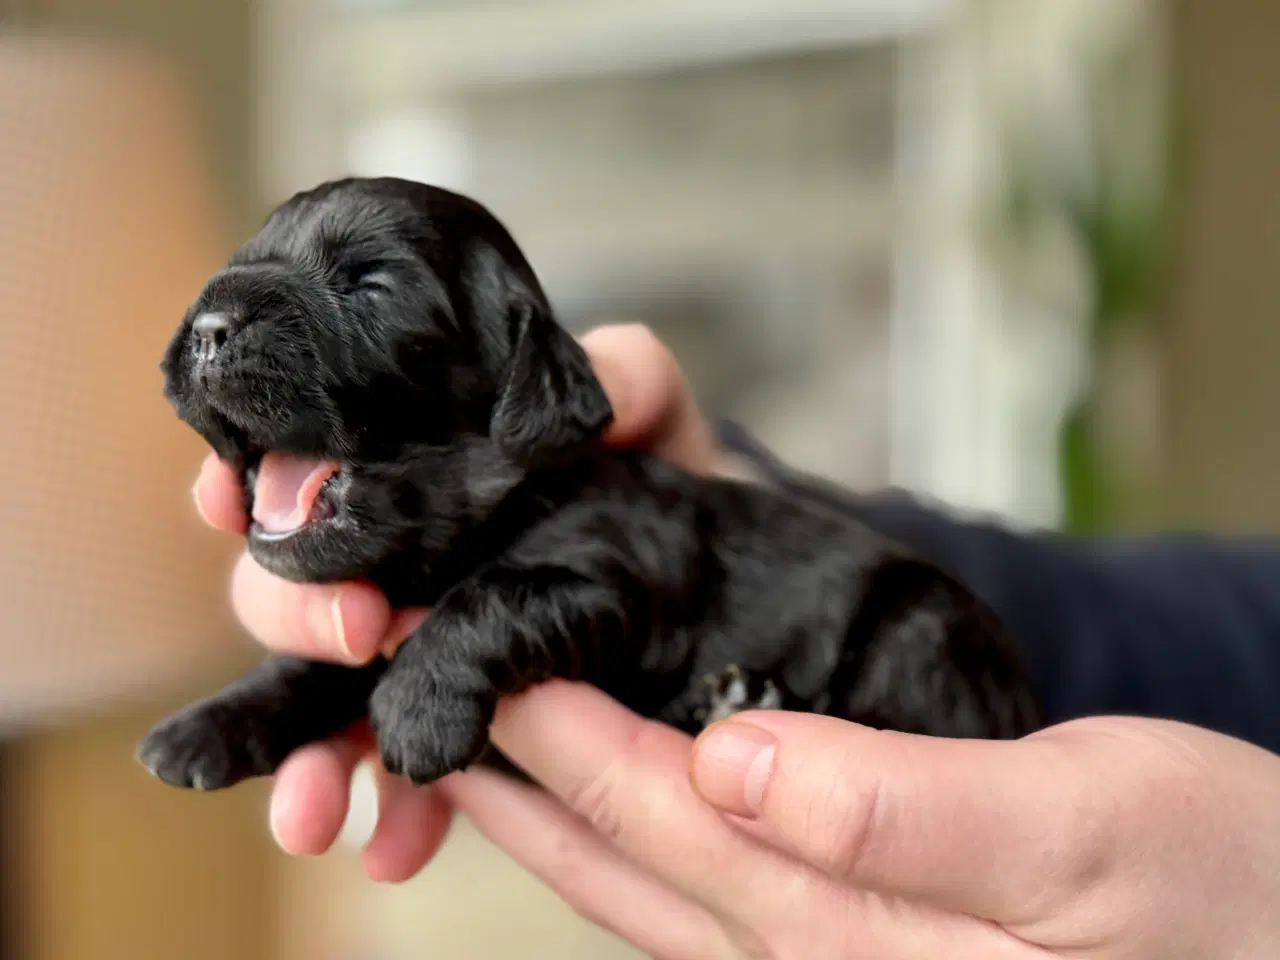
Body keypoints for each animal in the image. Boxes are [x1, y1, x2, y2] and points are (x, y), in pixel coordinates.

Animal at [137, 176, 1039, 793]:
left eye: (371, 284)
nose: (207, 329)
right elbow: (314, 662)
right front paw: (207, 726)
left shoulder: (621, 583)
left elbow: (493, 596)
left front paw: (419, 712)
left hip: (926, 629)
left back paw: (745, 706)